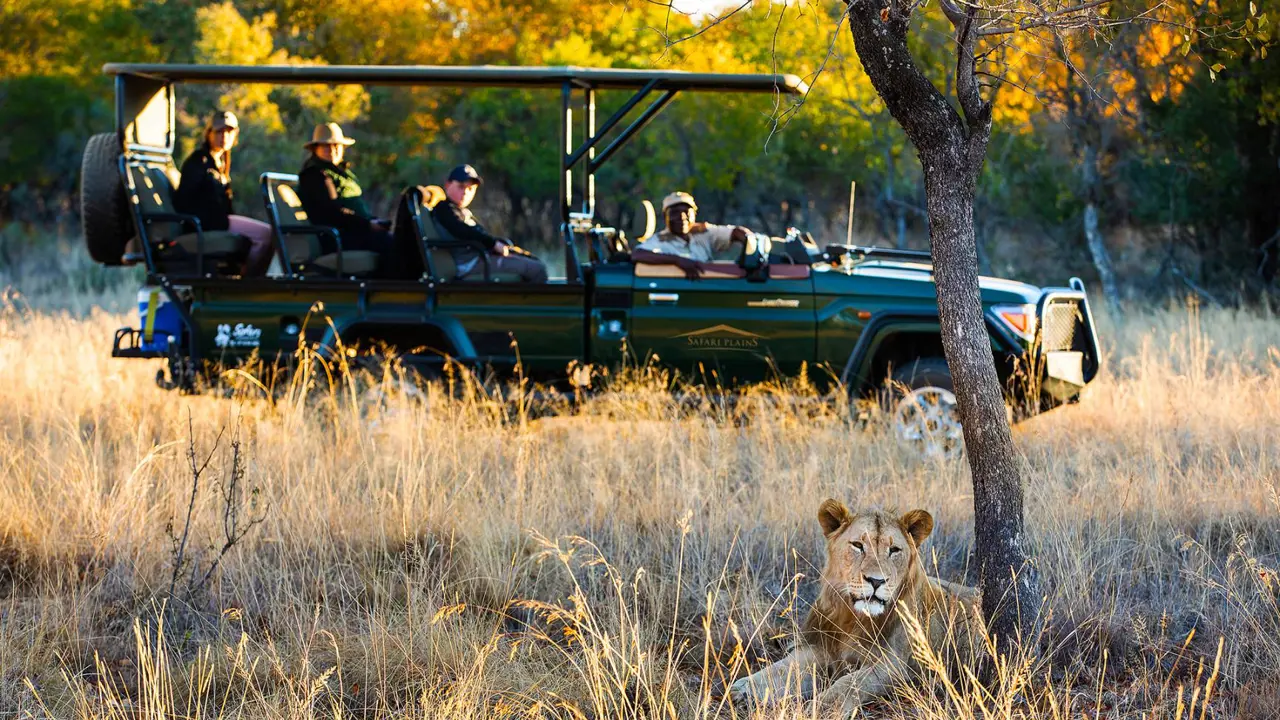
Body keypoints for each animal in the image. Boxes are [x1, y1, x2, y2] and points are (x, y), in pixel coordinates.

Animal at [727, 499, 983, 712]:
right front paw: (743, 689)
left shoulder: (895, 664)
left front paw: (823, 707)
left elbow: (850, 682)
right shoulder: (818, 649)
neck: (854, 619)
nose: (877, 581)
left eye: (894, 550)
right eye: (858, 545)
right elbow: (781, 669)